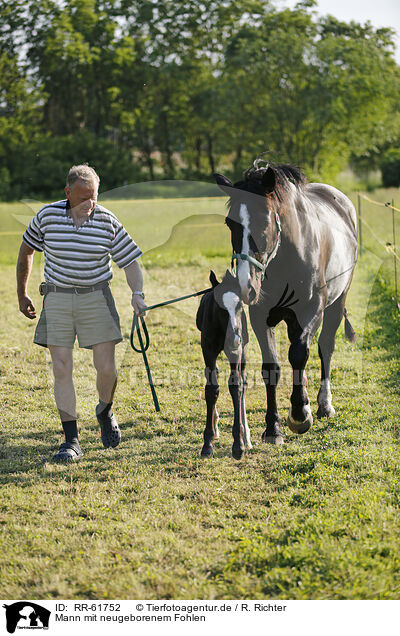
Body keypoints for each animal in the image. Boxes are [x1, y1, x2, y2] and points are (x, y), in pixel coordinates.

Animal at [196, 268, 252, 458]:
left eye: (240, 305)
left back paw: (247, 438)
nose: (234, 339)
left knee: (243, 381)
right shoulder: (207, 349)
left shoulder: (237, 351)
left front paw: (238, 445)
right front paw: (208, 443)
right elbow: (212, 389)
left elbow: (236, 386)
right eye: (219, 306)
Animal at [214, 161, 358, 444]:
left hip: (337, 303)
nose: (246, 285)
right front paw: (274, 427)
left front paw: (300, 416)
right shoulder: (260, 316)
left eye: (264, 221)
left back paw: (323, 404)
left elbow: (300, 353)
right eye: (229, 223)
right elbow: (272, 367)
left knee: (324, 347)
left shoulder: (313, 310)